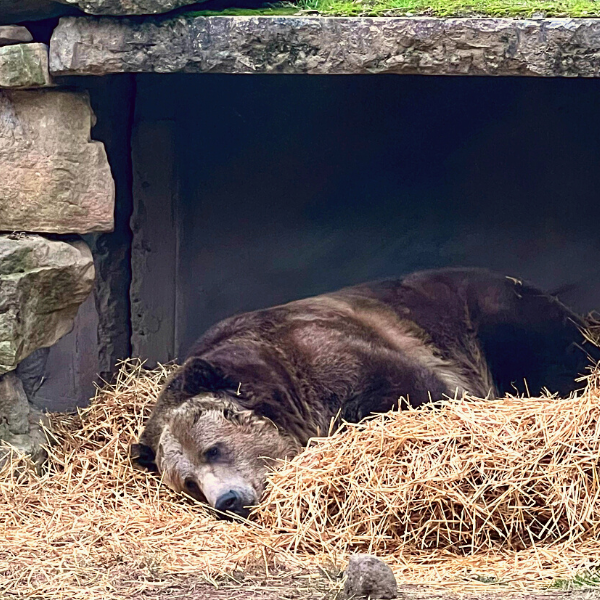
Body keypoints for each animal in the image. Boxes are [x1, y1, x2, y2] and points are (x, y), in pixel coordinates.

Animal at [131, 270, 600, 516]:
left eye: (214, 448)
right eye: (189, 483)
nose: (226, 499)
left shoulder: (331, 351)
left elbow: (414, 390)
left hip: (490, 308)